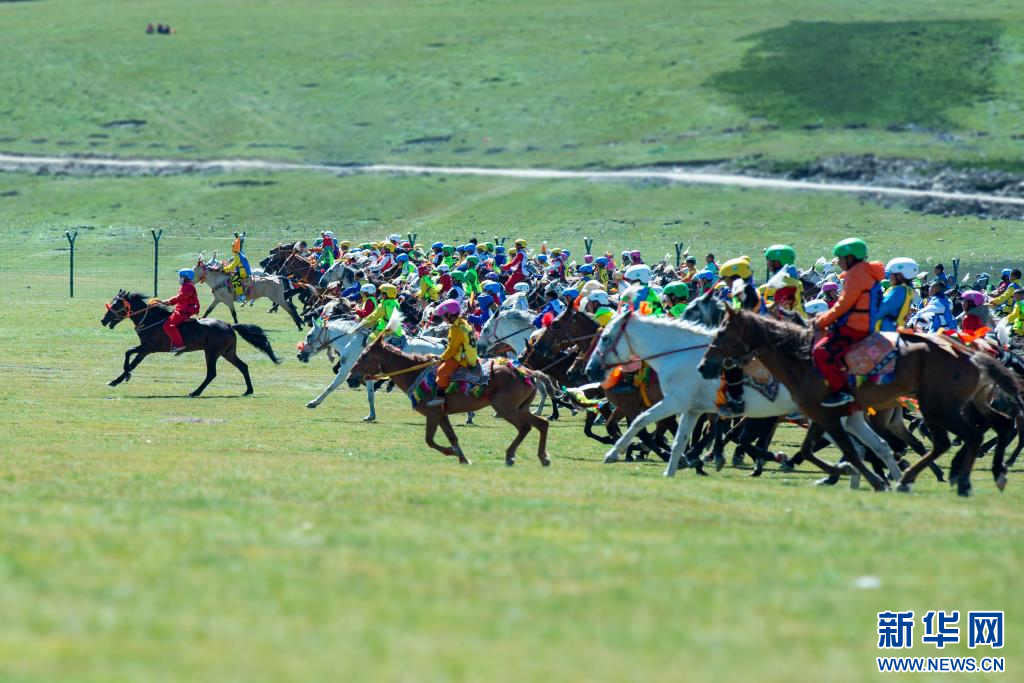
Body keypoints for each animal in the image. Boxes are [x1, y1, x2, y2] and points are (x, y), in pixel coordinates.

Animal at [101, 290, 282, 397]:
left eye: (116, 304)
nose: (103, 320)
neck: (151, 319)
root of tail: (229, 325)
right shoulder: (145, 350)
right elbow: (132, 362)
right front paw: (118, 380)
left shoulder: (150, 347)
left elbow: (128, 352)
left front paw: (125, 375)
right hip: (227, 353)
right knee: (243, 366)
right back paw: (248, 390)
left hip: (212, 353)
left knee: (212, 373)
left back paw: (195, 392)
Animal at [581, 313, 901, 483]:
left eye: (606, 337)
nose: (589, 370)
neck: (680, 354)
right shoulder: (692, 409)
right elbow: (679, 440)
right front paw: (673, 469)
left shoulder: (675, 402)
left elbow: (639, 421)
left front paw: (613, 454)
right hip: (848, 417)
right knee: (874, 446)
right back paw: (885, 478)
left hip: (827, 417)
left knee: (859, 448)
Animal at [700, 309, 1019, 497]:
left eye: (722, 333)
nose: (704, 366)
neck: (800, 360)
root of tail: (972, 353)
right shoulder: (824, 415)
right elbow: (818, 449)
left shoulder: (825, 416)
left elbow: (848, 452)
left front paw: (867, 478)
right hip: (948, 407)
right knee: (982, 431)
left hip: (938, 407)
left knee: (966, 436)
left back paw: (946, 477)